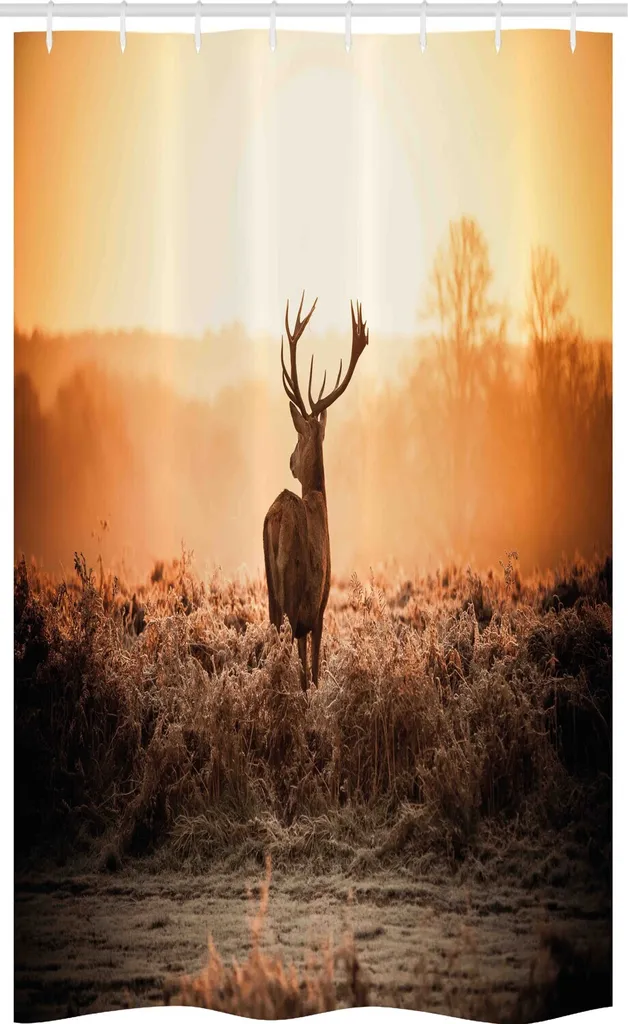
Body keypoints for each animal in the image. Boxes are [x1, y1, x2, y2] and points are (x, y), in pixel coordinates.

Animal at [263, 294, 369, 691]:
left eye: (298, 437)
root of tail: (278, 515)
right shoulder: (320, 604)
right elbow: (314, 669)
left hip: (271, 591)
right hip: (294, 593)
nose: (290, 460)